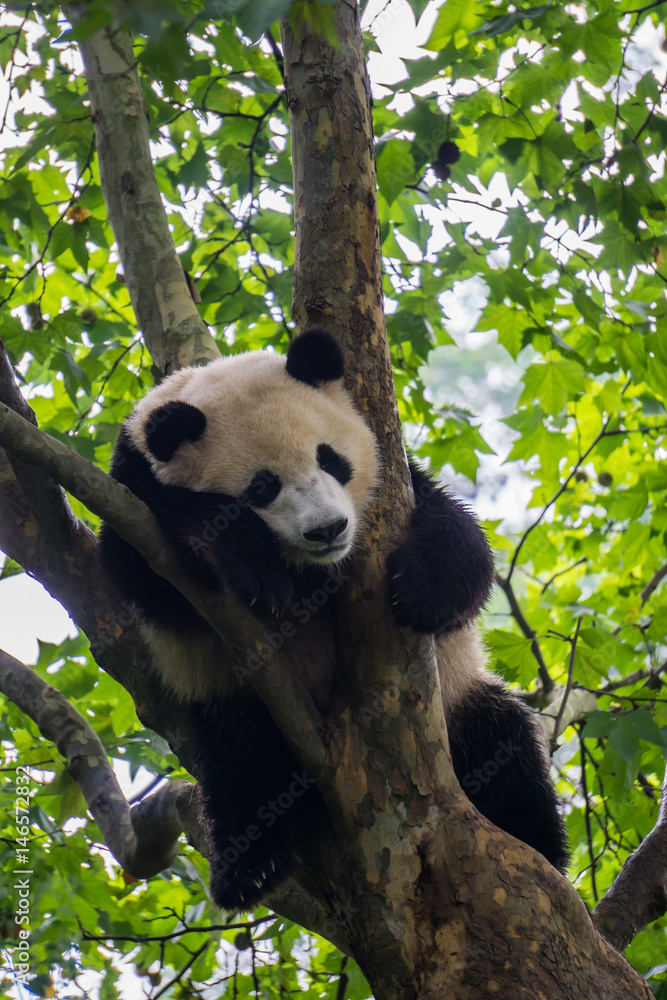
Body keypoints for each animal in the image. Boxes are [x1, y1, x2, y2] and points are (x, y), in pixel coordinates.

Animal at [100, 328, 568, 909]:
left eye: (330, 459)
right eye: (262, 486)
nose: (328, 529)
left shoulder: (396, 484)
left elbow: (453, 530)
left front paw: (423, 591)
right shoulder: (130, 492)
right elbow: (148, 570)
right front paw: (256, 569)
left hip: (461, 703)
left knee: (504, 748)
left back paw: (539, 852)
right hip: (241, 707)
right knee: (243, 768)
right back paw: (248, 868)